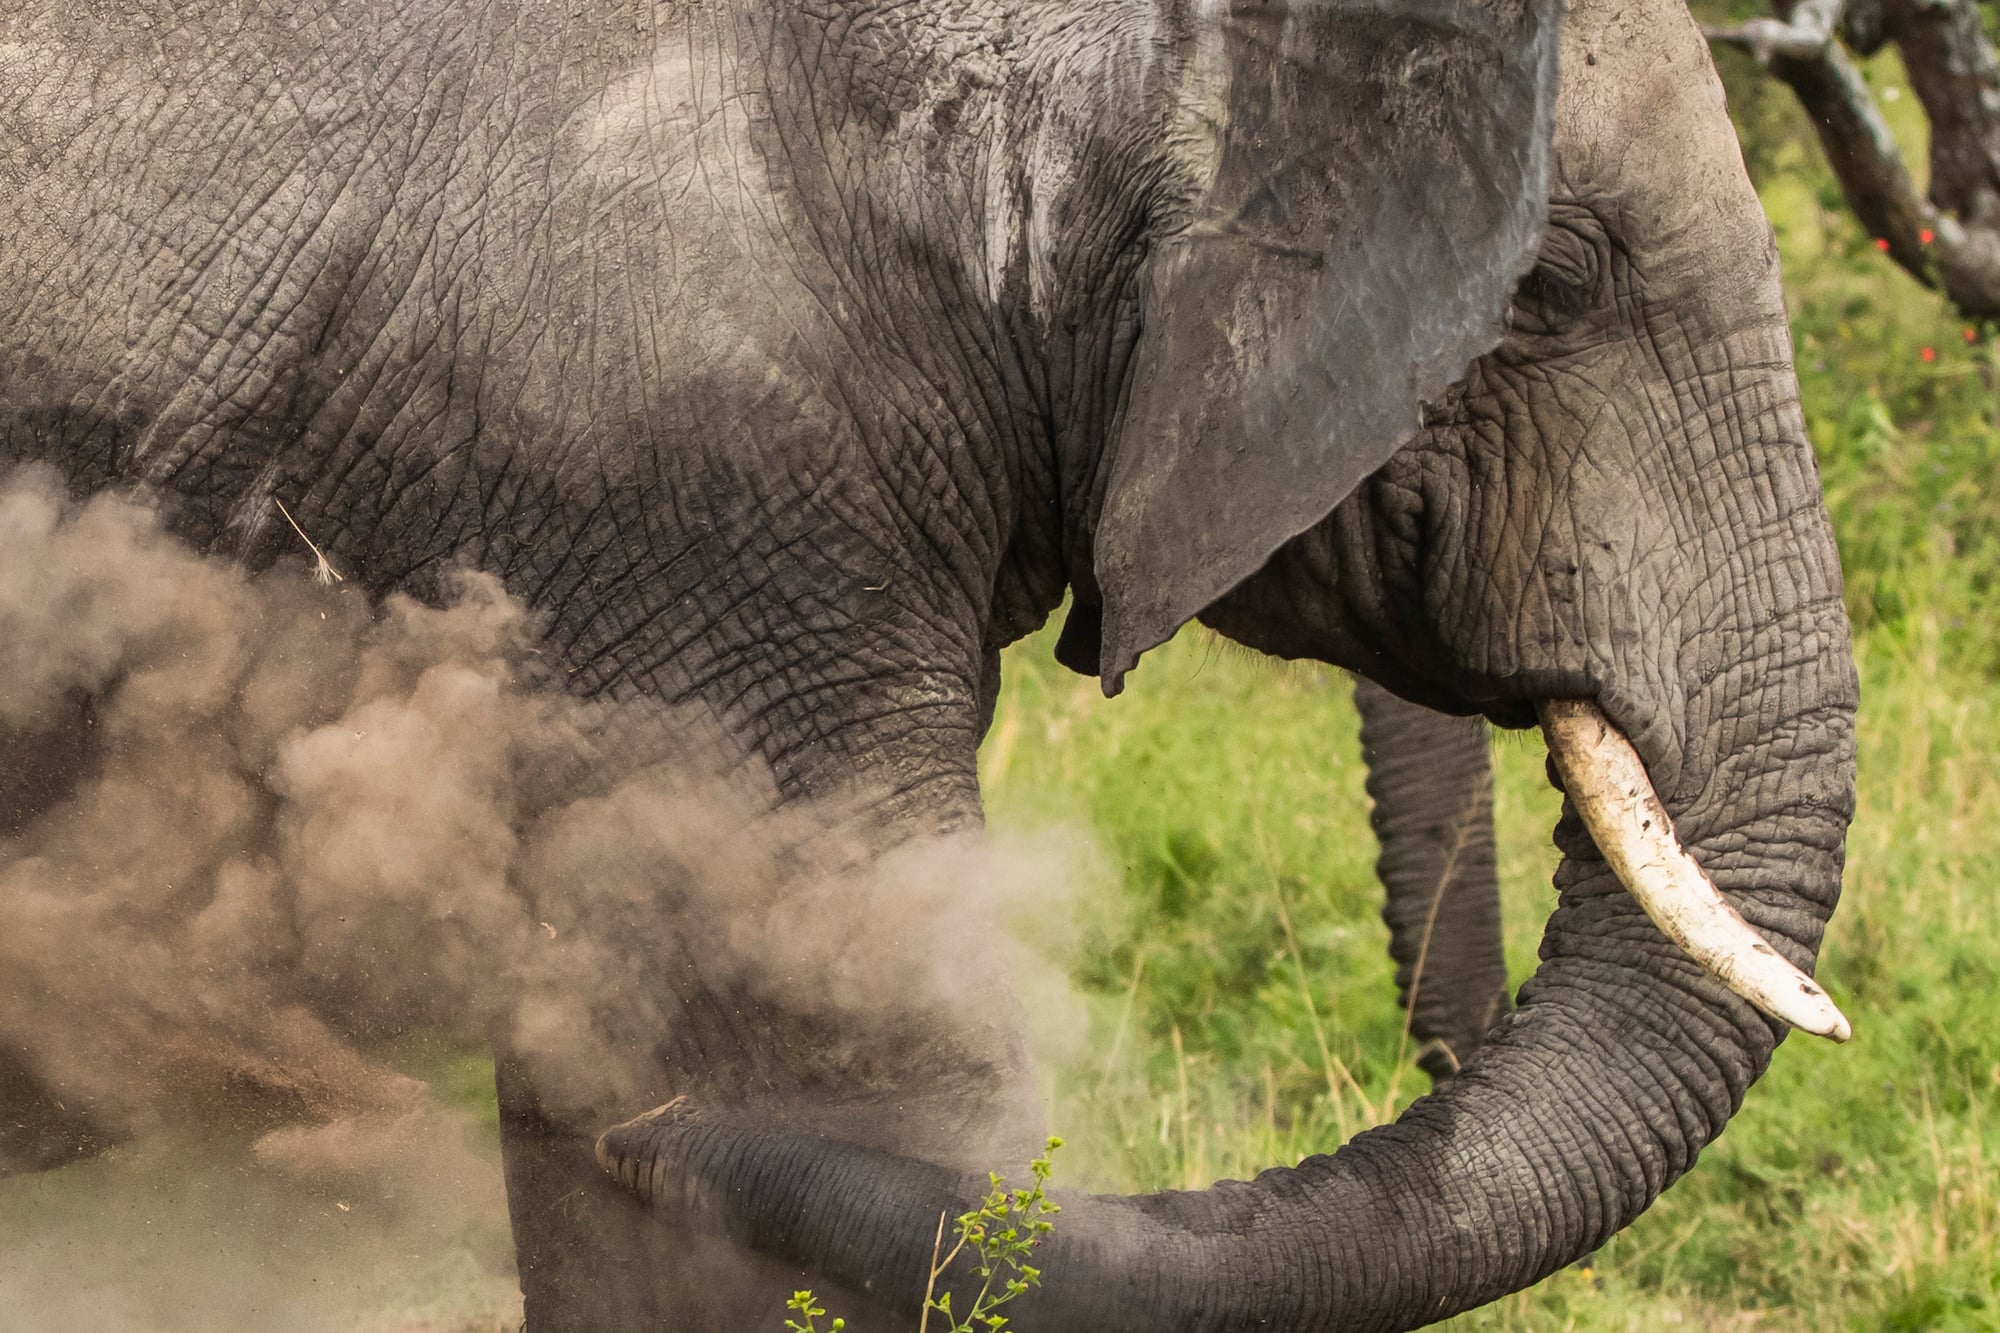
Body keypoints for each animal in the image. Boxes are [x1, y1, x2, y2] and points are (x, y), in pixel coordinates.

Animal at [0, 0, 1859, 1328]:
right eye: (1555, 282)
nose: (652, 1143)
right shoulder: (688, 450)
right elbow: (846, 1075)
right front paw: (672, 1123)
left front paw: (630, 1133)